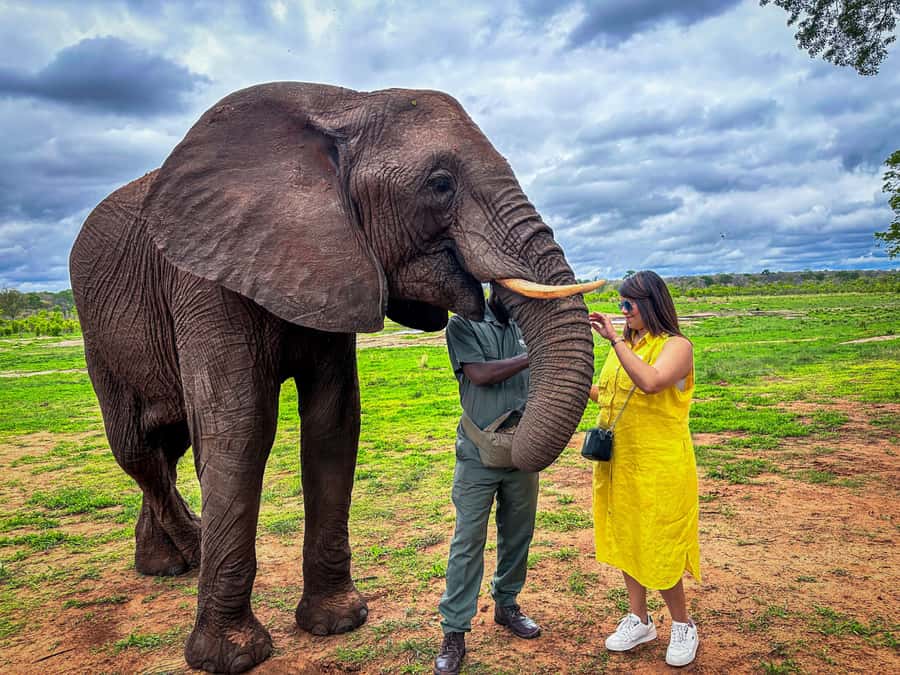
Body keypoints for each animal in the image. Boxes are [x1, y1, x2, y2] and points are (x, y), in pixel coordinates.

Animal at [69, 81, 601, 673]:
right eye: (439, 185)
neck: (342, 103)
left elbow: (334, 425)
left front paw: (338, 623)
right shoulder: (205, 278)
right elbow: (240, 431)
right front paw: (233, 657)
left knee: (169, 444)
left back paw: (166, 565)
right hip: (98, 336)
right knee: (139, 448)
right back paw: (190, 551)